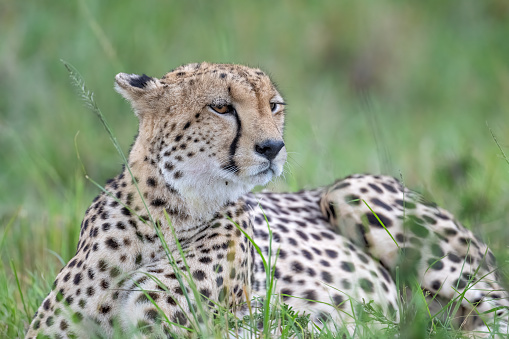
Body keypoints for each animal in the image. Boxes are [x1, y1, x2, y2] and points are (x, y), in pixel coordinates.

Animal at [27, 63, 508, 338]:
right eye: (221, 107)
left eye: (273, 106)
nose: (273, 147)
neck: (161, 217)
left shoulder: (195, 326)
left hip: (351, 191)